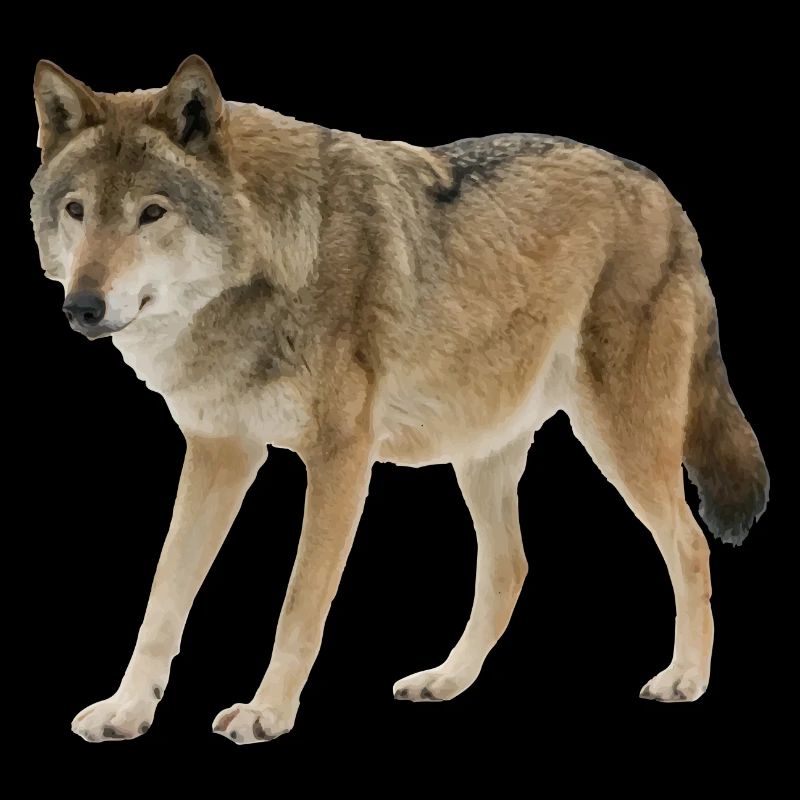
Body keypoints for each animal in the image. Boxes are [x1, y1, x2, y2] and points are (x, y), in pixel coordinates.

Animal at [31, 55, 769, 744]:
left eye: (153, 213)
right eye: (77, 212)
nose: (83, 307)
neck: (271, 263)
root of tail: (663, 193)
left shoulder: (339, 457)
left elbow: (299, 604)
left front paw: (266, 713)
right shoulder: (220, 452)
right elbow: (163, 600)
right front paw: (127, 709)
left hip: (619, 438)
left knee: (689, 543)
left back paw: (685, 677)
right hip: (481, 452)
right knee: (510, 567)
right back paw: (445, 679)